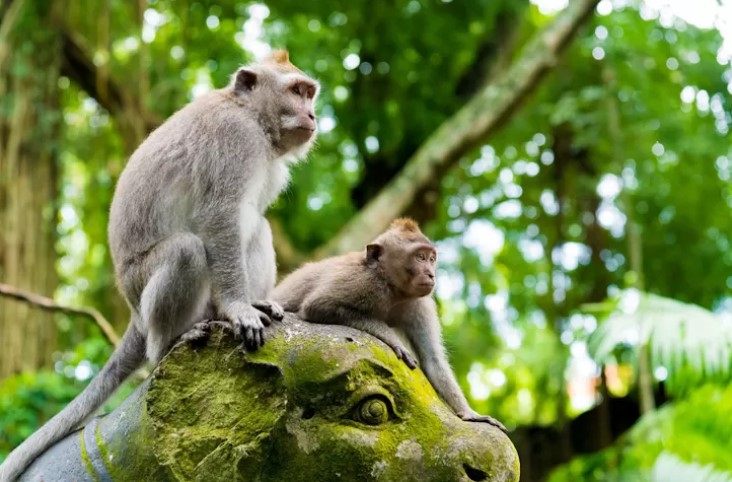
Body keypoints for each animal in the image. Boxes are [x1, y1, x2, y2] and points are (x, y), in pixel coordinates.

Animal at [0, 51, 319, 481]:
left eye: (309, 93)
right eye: (297, 91)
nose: (313, 114)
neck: (250, 115)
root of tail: (134, 314)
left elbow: (244, 221)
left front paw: (248, 304)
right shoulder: (234, 140)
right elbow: (219, 216)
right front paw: (238, 308)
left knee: (256, 226)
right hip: (142, 287)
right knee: (188, 250)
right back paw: (172, 341)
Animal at [271, 218, 506, 432]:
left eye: (432, 259)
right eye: (420, 257)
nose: (431, 274)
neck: (392, 289)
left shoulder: (419, 304)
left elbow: (432, 359)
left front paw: (469, 414)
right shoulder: (360, 280)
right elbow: (318, 305)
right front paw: (395, 341)